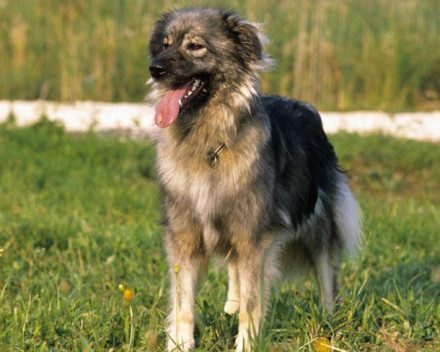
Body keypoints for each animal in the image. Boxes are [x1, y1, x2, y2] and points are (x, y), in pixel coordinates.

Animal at [148, 8, 360, 352]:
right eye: (164, 44)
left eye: (195, 46)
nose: (155, 69)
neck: (209, 144)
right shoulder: (184, 237)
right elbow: (183, 303)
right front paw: (179, 343)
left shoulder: (254, 238)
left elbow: (253, 302)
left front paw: (246, 343)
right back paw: (230, 303)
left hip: (318, 230)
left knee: (327, 279)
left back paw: (328, 321)